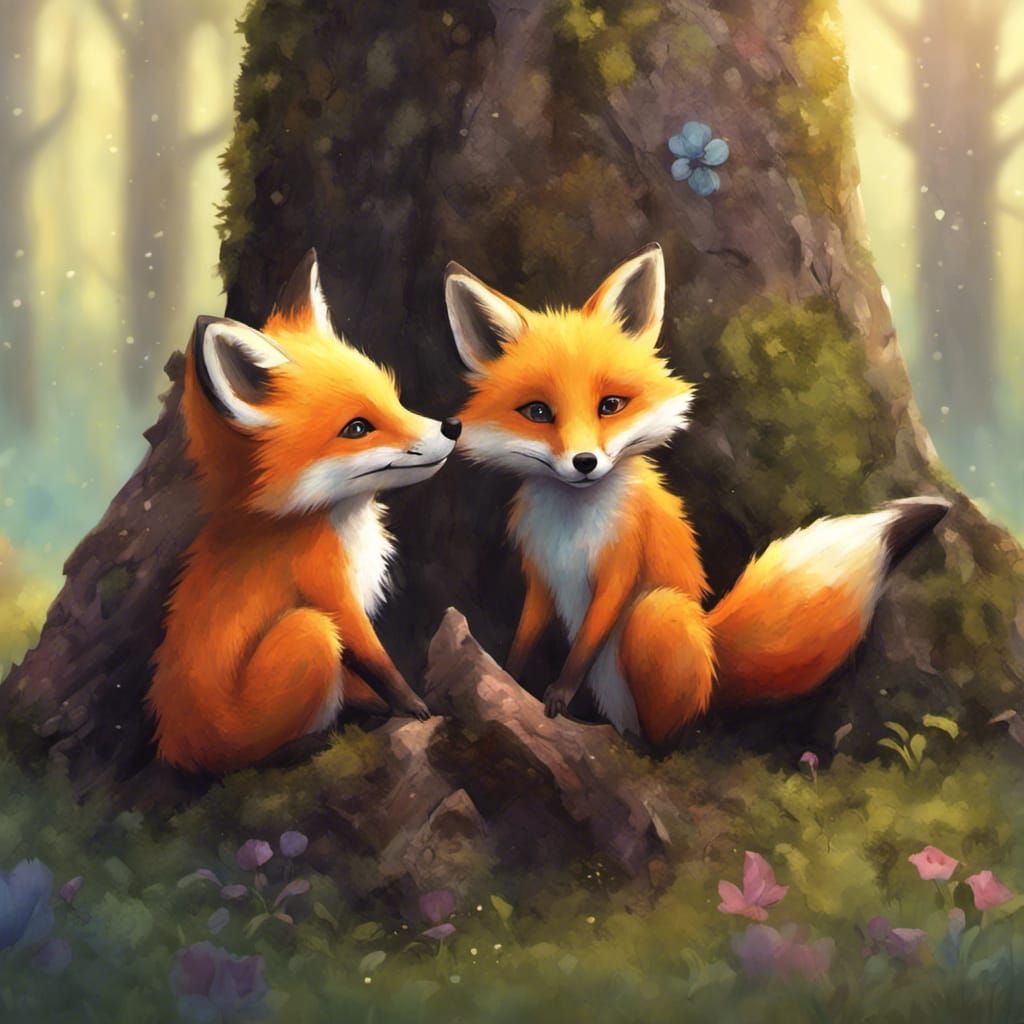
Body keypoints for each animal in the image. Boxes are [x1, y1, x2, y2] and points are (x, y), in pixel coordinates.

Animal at [149, 250, 461, 773]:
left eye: (394, 399)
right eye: (357, 428)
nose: (452, 427)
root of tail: (175, 747)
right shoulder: (331, 592)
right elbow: (379, 663)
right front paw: (414, 708)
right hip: (307, 635)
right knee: (256, 758)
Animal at [444, 243, 949, 747]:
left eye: (611, 405)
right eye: (537, 412)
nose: (584, 463)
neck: (573, 527)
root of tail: (712, 655)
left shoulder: (621, 566)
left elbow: (584, 646)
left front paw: (559, 695)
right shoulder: (541, 574)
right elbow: (523, 638)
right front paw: (510, 675)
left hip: (657, 613)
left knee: (664, 735)